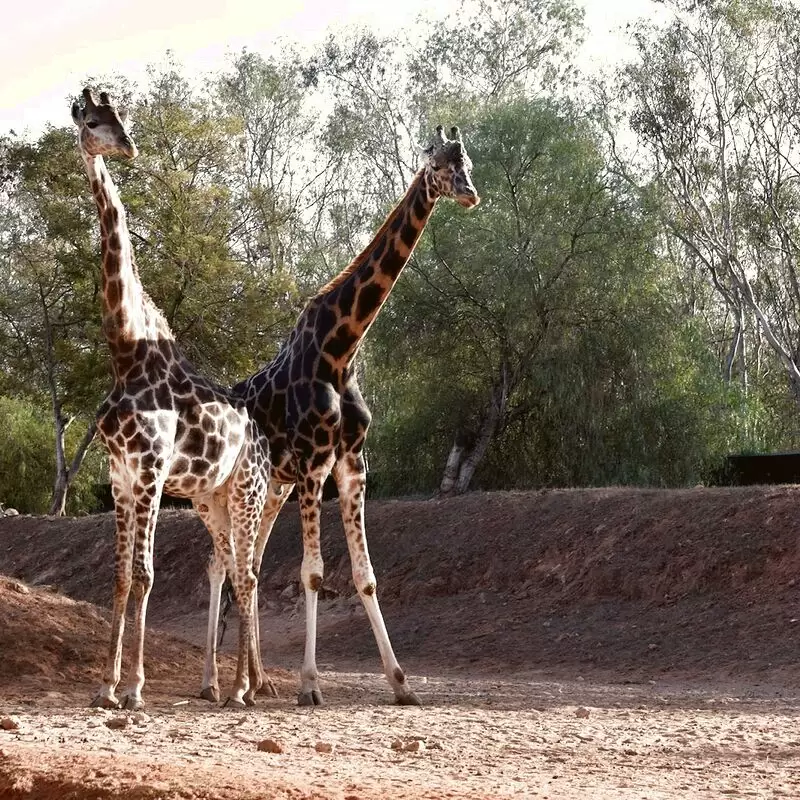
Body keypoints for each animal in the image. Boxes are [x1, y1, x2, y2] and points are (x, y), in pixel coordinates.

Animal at [70, 87, 268, 708]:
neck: (127, 351)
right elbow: (119, 575)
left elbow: (145, 574)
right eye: (91, 120)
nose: (128, 146)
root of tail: (260, 438)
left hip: (246, 491)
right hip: (214, 499)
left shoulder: (152, 471)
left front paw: (133, 688)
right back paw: (237, 686)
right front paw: (104, 686)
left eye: (118, 117)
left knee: (248, 573)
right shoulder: (120, 475)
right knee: (234, 570)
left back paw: (241, 690)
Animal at [206, 122, 482, 704]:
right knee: (223, 566)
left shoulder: (352, 465)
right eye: (439, 166)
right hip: (240, 488)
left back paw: (256, 682)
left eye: (467, 162)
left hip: (272, 489)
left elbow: (366, 576)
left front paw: (401, 684)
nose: (470, 194)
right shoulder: (315, 464)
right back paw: (217, 684)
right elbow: (312, 573)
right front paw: (310, 684)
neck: (342, 348)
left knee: (250, 565)